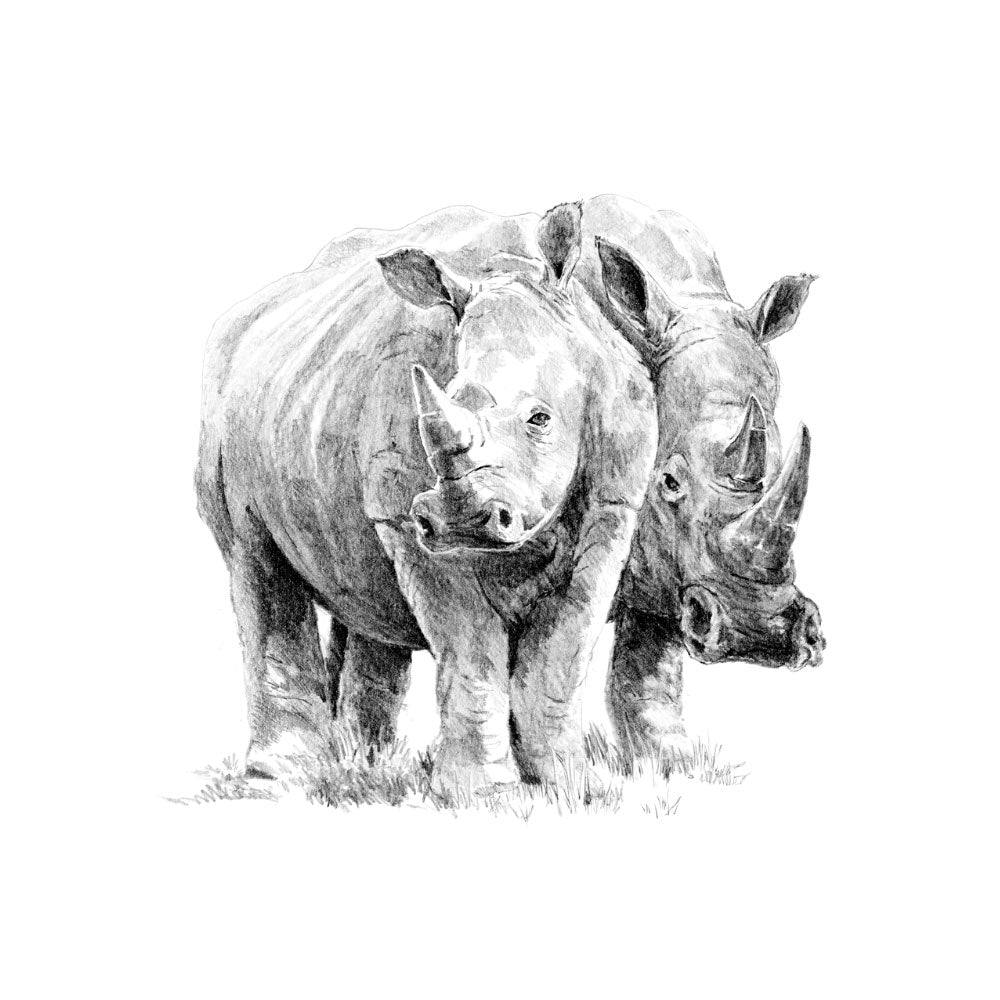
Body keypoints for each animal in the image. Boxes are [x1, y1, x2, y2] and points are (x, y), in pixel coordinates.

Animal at [196, 203, 657, 794]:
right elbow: (470, 649)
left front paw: (569, 787)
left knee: (357, 591)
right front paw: (484, 795)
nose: (462, 522)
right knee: (253, 558)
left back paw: (365, 767)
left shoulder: (614, 502)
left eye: (540, 419)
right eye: (437, 407)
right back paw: (282, 780)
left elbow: (558, 654)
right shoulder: (402, 518)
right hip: (226, 413)